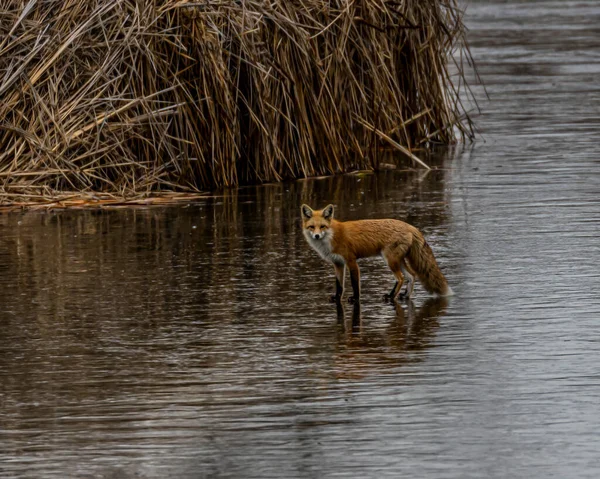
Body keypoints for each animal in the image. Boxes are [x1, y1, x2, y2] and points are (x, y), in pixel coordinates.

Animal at [302, 203, 452, 304]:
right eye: (311, 227)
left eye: (322, 226)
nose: (316, 236)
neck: (332, 237)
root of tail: (410, 226)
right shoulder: (338, 263)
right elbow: (339, 285)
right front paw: (337, 297)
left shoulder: (351, 261)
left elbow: (355, 284)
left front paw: (355, 298)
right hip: (398, 260)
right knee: (412, 275)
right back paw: (405, 295)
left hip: (390, 260)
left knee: (401, 278)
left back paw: (391, 296)